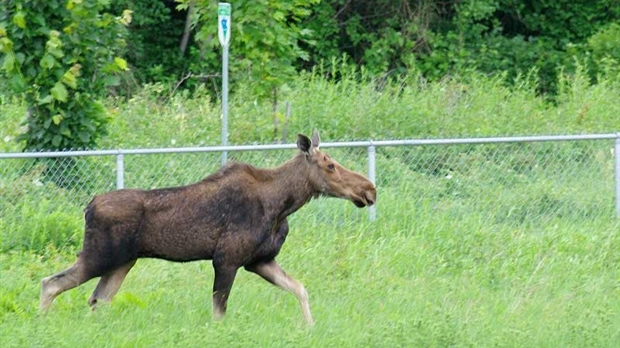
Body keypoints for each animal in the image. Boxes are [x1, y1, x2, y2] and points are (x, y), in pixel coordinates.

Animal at [41, 130, 378, 324]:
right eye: (330, 165)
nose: (369, 189)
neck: (283, 204)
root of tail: (88, 206)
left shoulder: (259, 260)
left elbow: (300, 288)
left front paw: (309, 328)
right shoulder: (227, 258)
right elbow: (219, 312)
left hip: (122, 262)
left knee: (97, 300)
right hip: (99, 256)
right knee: (51, 283)